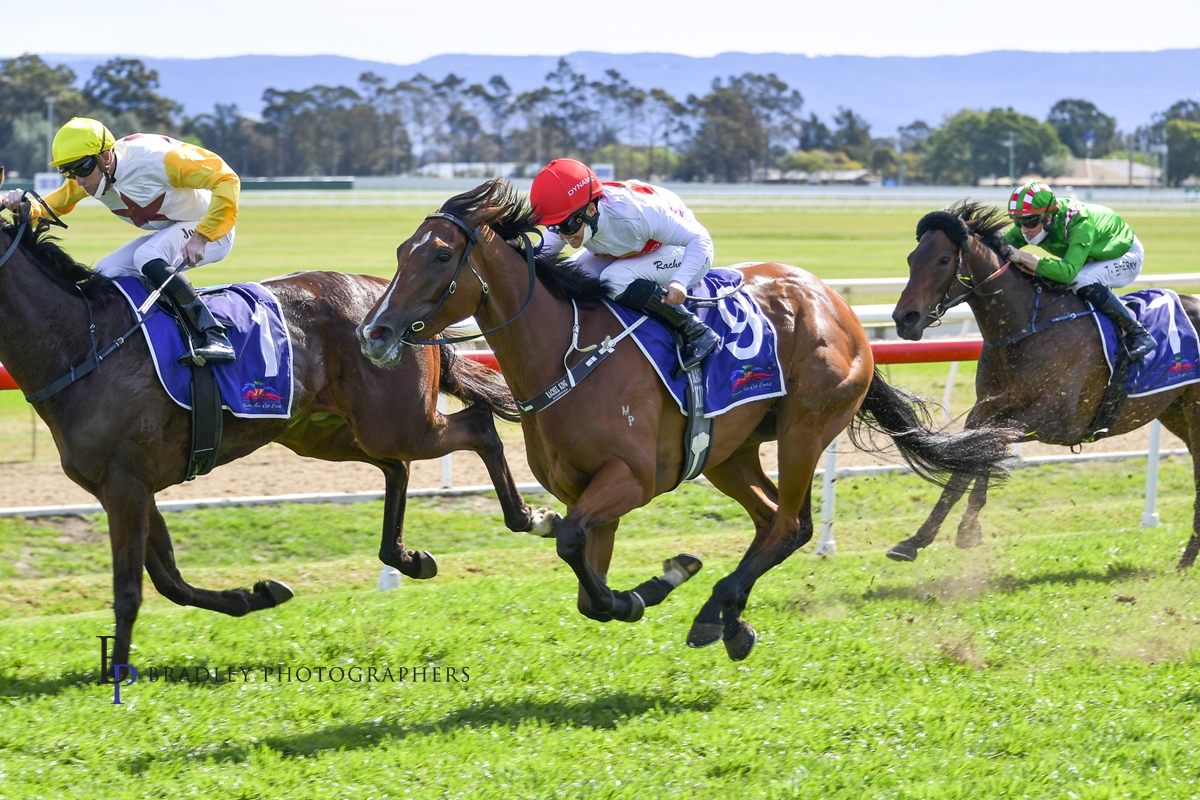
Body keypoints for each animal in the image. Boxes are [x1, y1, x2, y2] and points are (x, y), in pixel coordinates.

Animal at [0, 171, 547, 669]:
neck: (84, 344)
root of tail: (398, 314)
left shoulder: (126, 484)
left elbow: (132, 589)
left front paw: (118, 672)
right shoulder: (126, 486)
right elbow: (169, 580)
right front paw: (255, 594)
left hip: (400, 421)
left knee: (477, 426)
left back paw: (529, 517)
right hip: (327, 432)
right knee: (399, 465)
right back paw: (406, 557)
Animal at [356, 179, 1018, 661]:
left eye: (441, 254)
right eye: (400, 252)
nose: (374, 333)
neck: (566, 353)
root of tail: (839, 306)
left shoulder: (631, 480)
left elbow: (571, 545)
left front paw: (655, 585)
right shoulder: (585, 492)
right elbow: (586, 586)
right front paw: (650, 587)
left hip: (805, 428)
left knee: (789, 525)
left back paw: (718, 612)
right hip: (729, 451)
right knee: (772, 520)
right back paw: (727, 620)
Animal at [888, 201, 1200, 569]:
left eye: (943, 259)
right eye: (911, 258)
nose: (903, 319)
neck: (1026, 329)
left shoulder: (1056, 420)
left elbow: (987, 450)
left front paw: (962, 530)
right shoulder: (986, 410)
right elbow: (971, 460)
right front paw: (919, 540)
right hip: (1175, 411)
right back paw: (1186, 559)